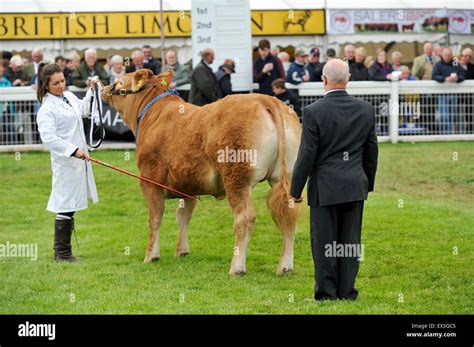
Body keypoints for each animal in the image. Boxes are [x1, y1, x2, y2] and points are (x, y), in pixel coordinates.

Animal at [101, 69, 300, 276]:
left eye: (119, 81)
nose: (104, 88)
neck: (153, 114)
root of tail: (264, 99)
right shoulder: (187, 185)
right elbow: (183, 217)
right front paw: (182, 251)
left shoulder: (150, 180)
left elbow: (155, 218)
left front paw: (151, 256)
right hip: (286, 176)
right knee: (289, 215)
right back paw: (285, 266)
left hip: (237, 178)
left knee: (245, 218)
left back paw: (237, 268)